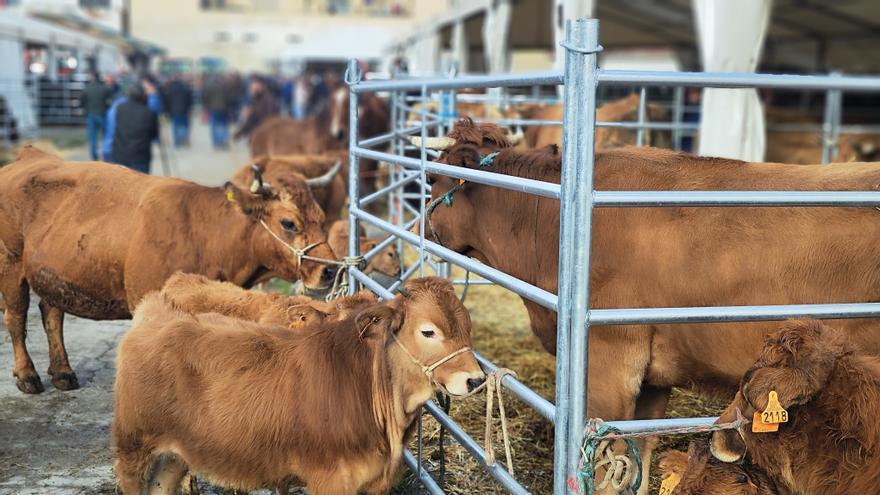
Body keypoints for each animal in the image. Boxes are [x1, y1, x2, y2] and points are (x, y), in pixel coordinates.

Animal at [0, 147, 338, 396]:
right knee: (16, 318)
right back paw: (27, 375)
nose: (331, 271)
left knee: (51, 314)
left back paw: (62, 372)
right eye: (288, 223)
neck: (204, 232)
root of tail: (29, 156)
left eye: (322, 218)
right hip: (11, 265)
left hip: (51, 273)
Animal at [113, 278, 484, 494]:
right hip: (133, 446)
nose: (475, 379)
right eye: (428, 331)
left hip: (174, 455)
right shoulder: (330, 479)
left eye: (467, 326)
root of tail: (157, 310)